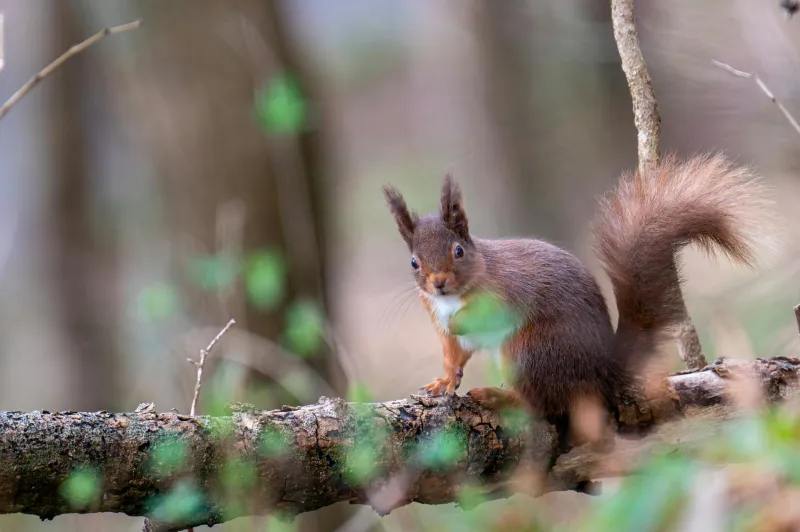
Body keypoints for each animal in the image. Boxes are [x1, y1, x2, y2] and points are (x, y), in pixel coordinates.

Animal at [383, 153, 773, 442]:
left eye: (459, 251)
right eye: (414, 262)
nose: (438, 283)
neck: (455, 296)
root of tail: (602, 372)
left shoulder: (510, 288)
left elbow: (493, 312)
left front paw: (463, 321)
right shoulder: (438, 320)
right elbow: (454, 355)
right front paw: (444, 382)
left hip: (530, 350)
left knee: (540, 404)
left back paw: (498, 396)